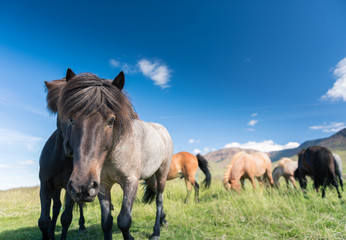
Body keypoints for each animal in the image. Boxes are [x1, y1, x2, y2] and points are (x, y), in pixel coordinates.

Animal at [38, 79, 86, 240]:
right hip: (56, 187)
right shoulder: (45, 184)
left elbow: (66, 218)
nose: (71, 145)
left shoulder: (72, 187)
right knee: (56, 207)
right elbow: (44, 220)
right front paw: (48, 234)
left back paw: (82, 225)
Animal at [46, 69, 173, 240]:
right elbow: (106, 222)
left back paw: (156, 232)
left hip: (162, 173)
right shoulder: (102, 186)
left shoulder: (130, 181)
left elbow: (124, 220)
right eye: (71, 119)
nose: (81, 186)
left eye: (111, 121)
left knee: (159, 199)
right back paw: (163, 220)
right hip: (149, 176)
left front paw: (130, 237)